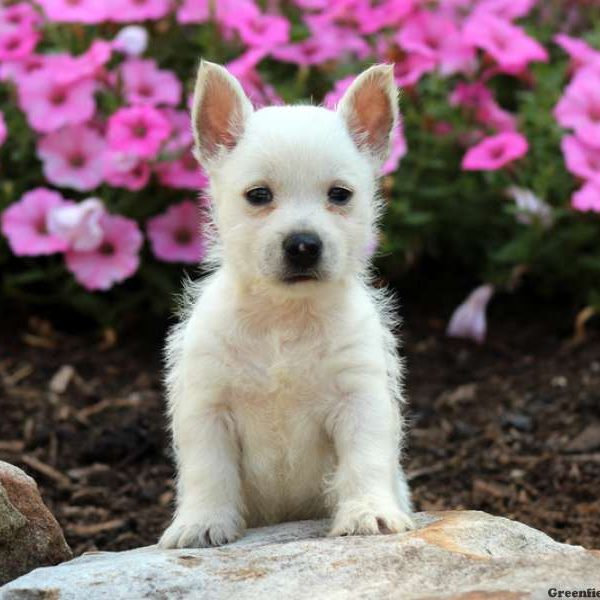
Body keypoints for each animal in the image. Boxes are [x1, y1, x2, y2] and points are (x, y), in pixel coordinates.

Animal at [159, 61, 412, 548]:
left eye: (340, 194)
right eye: (259, 195)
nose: (303, 245)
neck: (284, 318)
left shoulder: (361, 400)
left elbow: (365, 460)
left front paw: (368, 512)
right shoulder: (207, 407)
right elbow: (207, 470)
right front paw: (201, 522)